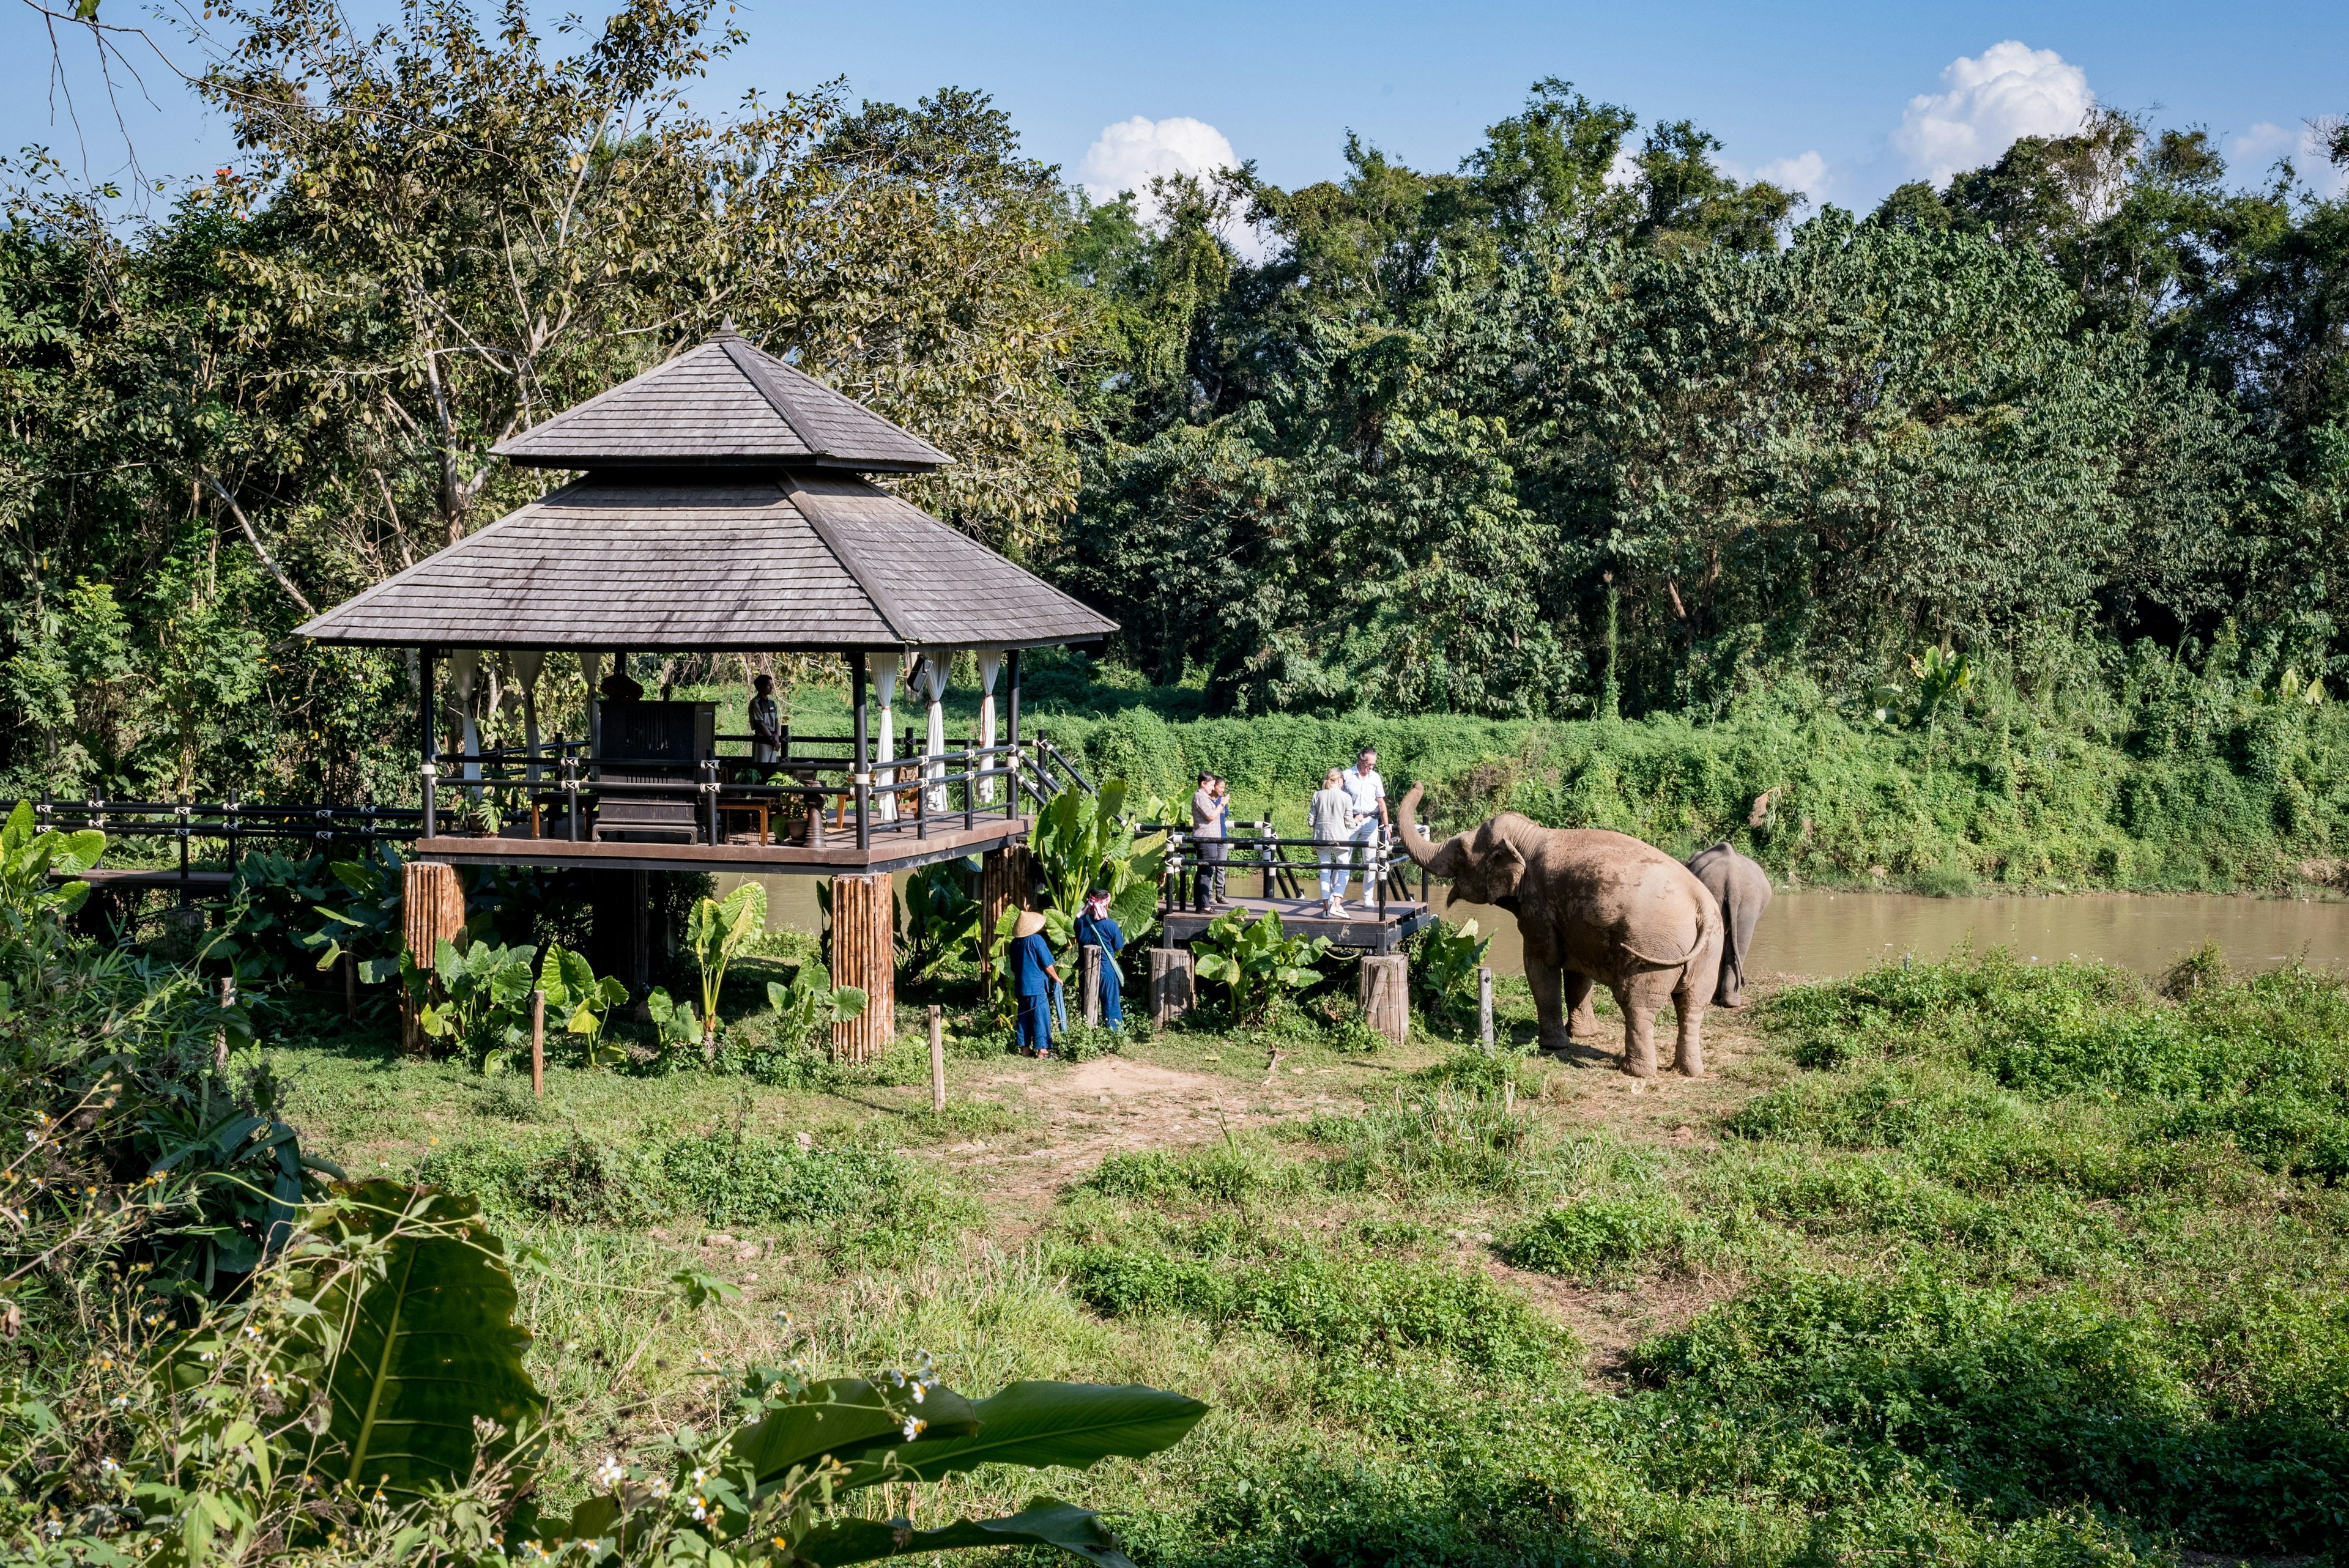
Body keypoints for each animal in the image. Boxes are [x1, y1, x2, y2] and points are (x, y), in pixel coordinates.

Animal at [1390, 784, 1729, 1079]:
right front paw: (1583, 1034)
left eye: (1460, 850)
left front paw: (1552, 1045)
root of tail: (1702, 905)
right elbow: (1578, 974)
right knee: (1692, 1005)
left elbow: (1541, 965)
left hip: (1652, 951)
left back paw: (1635, 1071)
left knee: (1638, 1004)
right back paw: (1690, 1071)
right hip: (1710, 952)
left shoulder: (1538, 909)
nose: (1418, 783)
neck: (1531, 835)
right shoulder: (1577, 923)